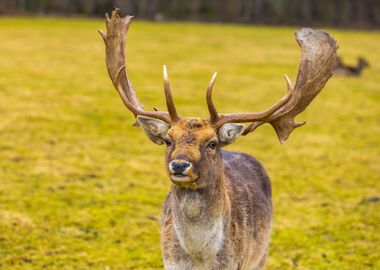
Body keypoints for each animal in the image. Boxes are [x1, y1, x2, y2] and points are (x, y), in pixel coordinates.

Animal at [99, 8, 336, 270]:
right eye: (169, 140)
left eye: (212, 143)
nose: (179, 165)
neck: (199, 259)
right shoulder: (169, 261)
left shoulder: (236, 262)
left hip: (261, 253)